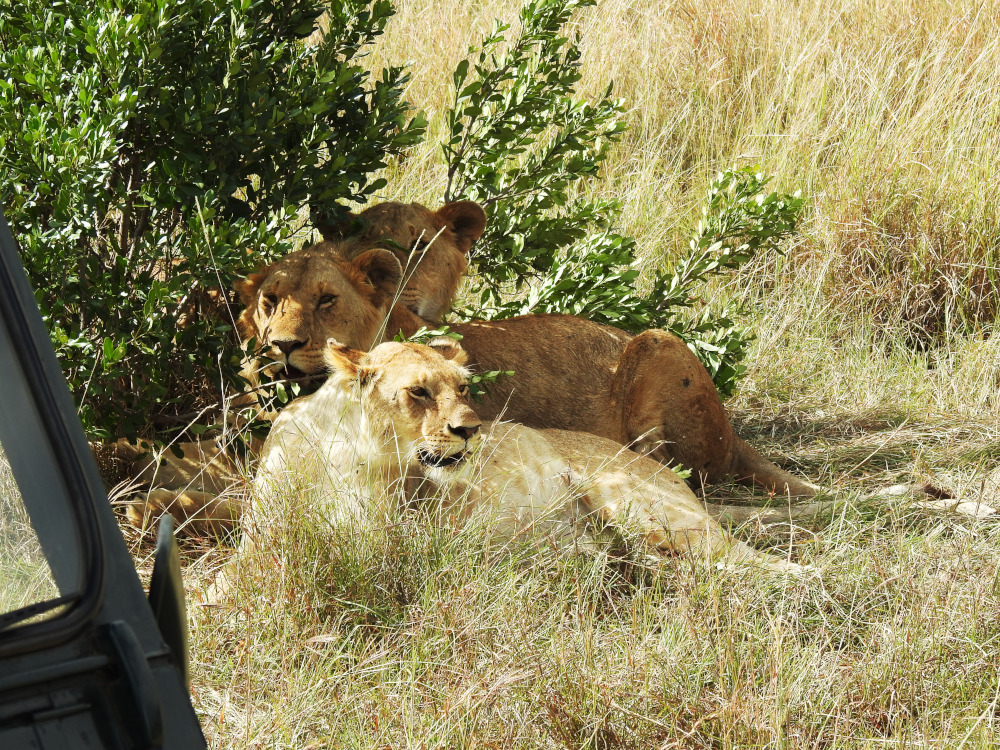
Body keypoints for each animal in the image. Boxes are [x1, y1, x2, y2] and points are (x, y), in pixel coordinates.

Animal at [250, 340, 804, 576]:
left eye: (463, 388)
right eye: (418, 392)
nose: (470, 430)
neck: (341, 446)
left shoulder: (384, 541)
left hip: (630, 496)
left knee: (762, 564)